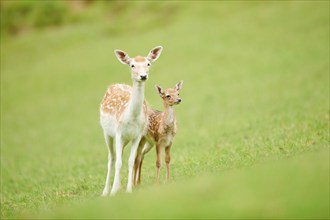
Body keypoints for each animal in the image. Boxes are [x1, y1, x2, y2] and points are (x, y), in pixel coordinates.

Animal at [100, 45, 163, 195]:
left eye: (148, 63)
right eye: (132, 65)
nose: (143, 76)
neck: (131, 118)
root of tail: (114, 85)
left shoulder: (137, 135)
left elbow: (130, 161)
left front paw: (128, 190)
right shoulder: (118, 133)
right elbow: (118, 162)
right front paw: (113, 192)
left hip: (125, 139)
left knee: (120, 156)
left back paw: (117, 187)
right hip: (107, 133)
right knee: (111, 158)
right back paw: (105, 191)